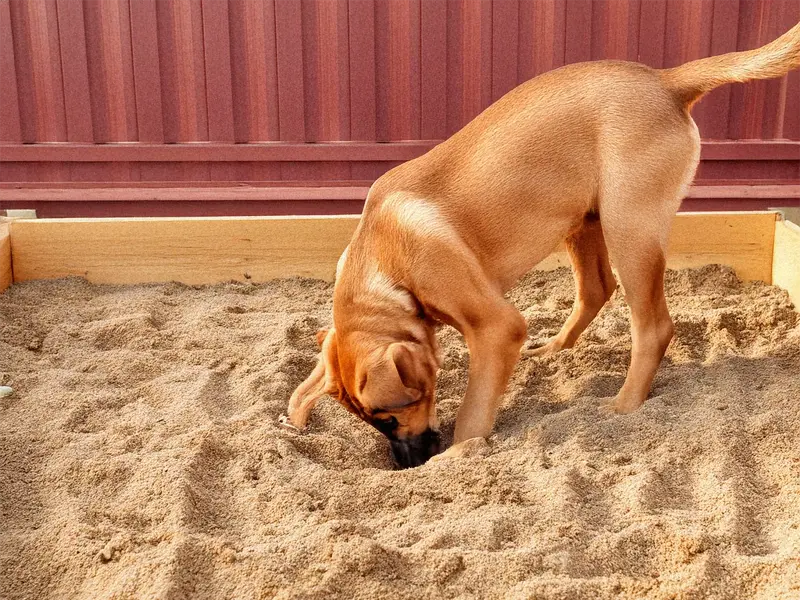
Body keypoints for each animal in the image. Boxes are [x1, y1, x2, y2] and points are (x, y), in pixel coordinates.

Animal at [280, 23, 800, 468]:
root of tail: (665, 81)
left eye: (391, 415)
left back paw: (624, 404)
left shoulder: (497, 328)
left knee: (653, 326)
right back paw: (553, 351)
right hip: (584, 222)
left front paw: (460, 454)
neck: (388, 266)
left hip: (630, 229)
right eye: (375, 423)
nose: (410, 465)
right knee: (596, 289)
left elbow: (472, 414)